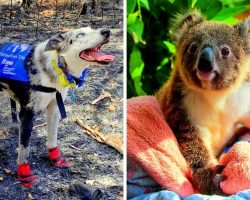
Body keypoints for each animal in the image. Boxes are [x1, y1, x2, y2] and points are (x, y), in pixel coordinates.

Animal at [0, 27, 114, 188]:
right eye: (80, 34)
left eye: (91, 29)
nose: (106, 31)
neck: (57, 66)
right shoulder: (27, 115)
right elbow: (24, 149)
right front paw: (25, 176)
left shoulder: (54, 109)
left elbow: (52, 138)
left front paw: (56, 160)